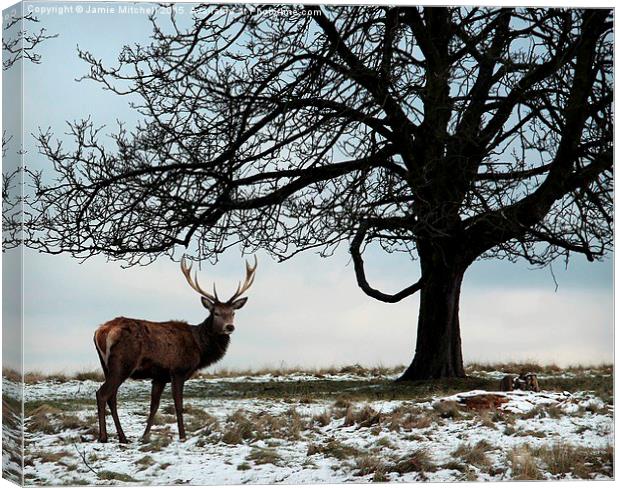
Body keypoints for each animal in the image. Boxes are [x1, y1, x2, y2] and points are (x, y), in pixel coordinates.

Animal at [92, 258, 256, 444]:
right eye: (216, 312)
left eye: (233, 312)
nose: (229, 327)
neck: (200, 347)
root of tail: (101, 331)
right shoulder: (178, 370)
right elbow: (178, 404)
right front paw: (183, 436)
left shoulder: (159, 376)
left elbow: (154, 406)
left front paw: (144, 436)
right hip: (123, 363)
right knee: (102, 394)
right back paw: (103, 437)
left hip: (106, 365)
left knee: (112, 397)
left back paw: (123, 437)